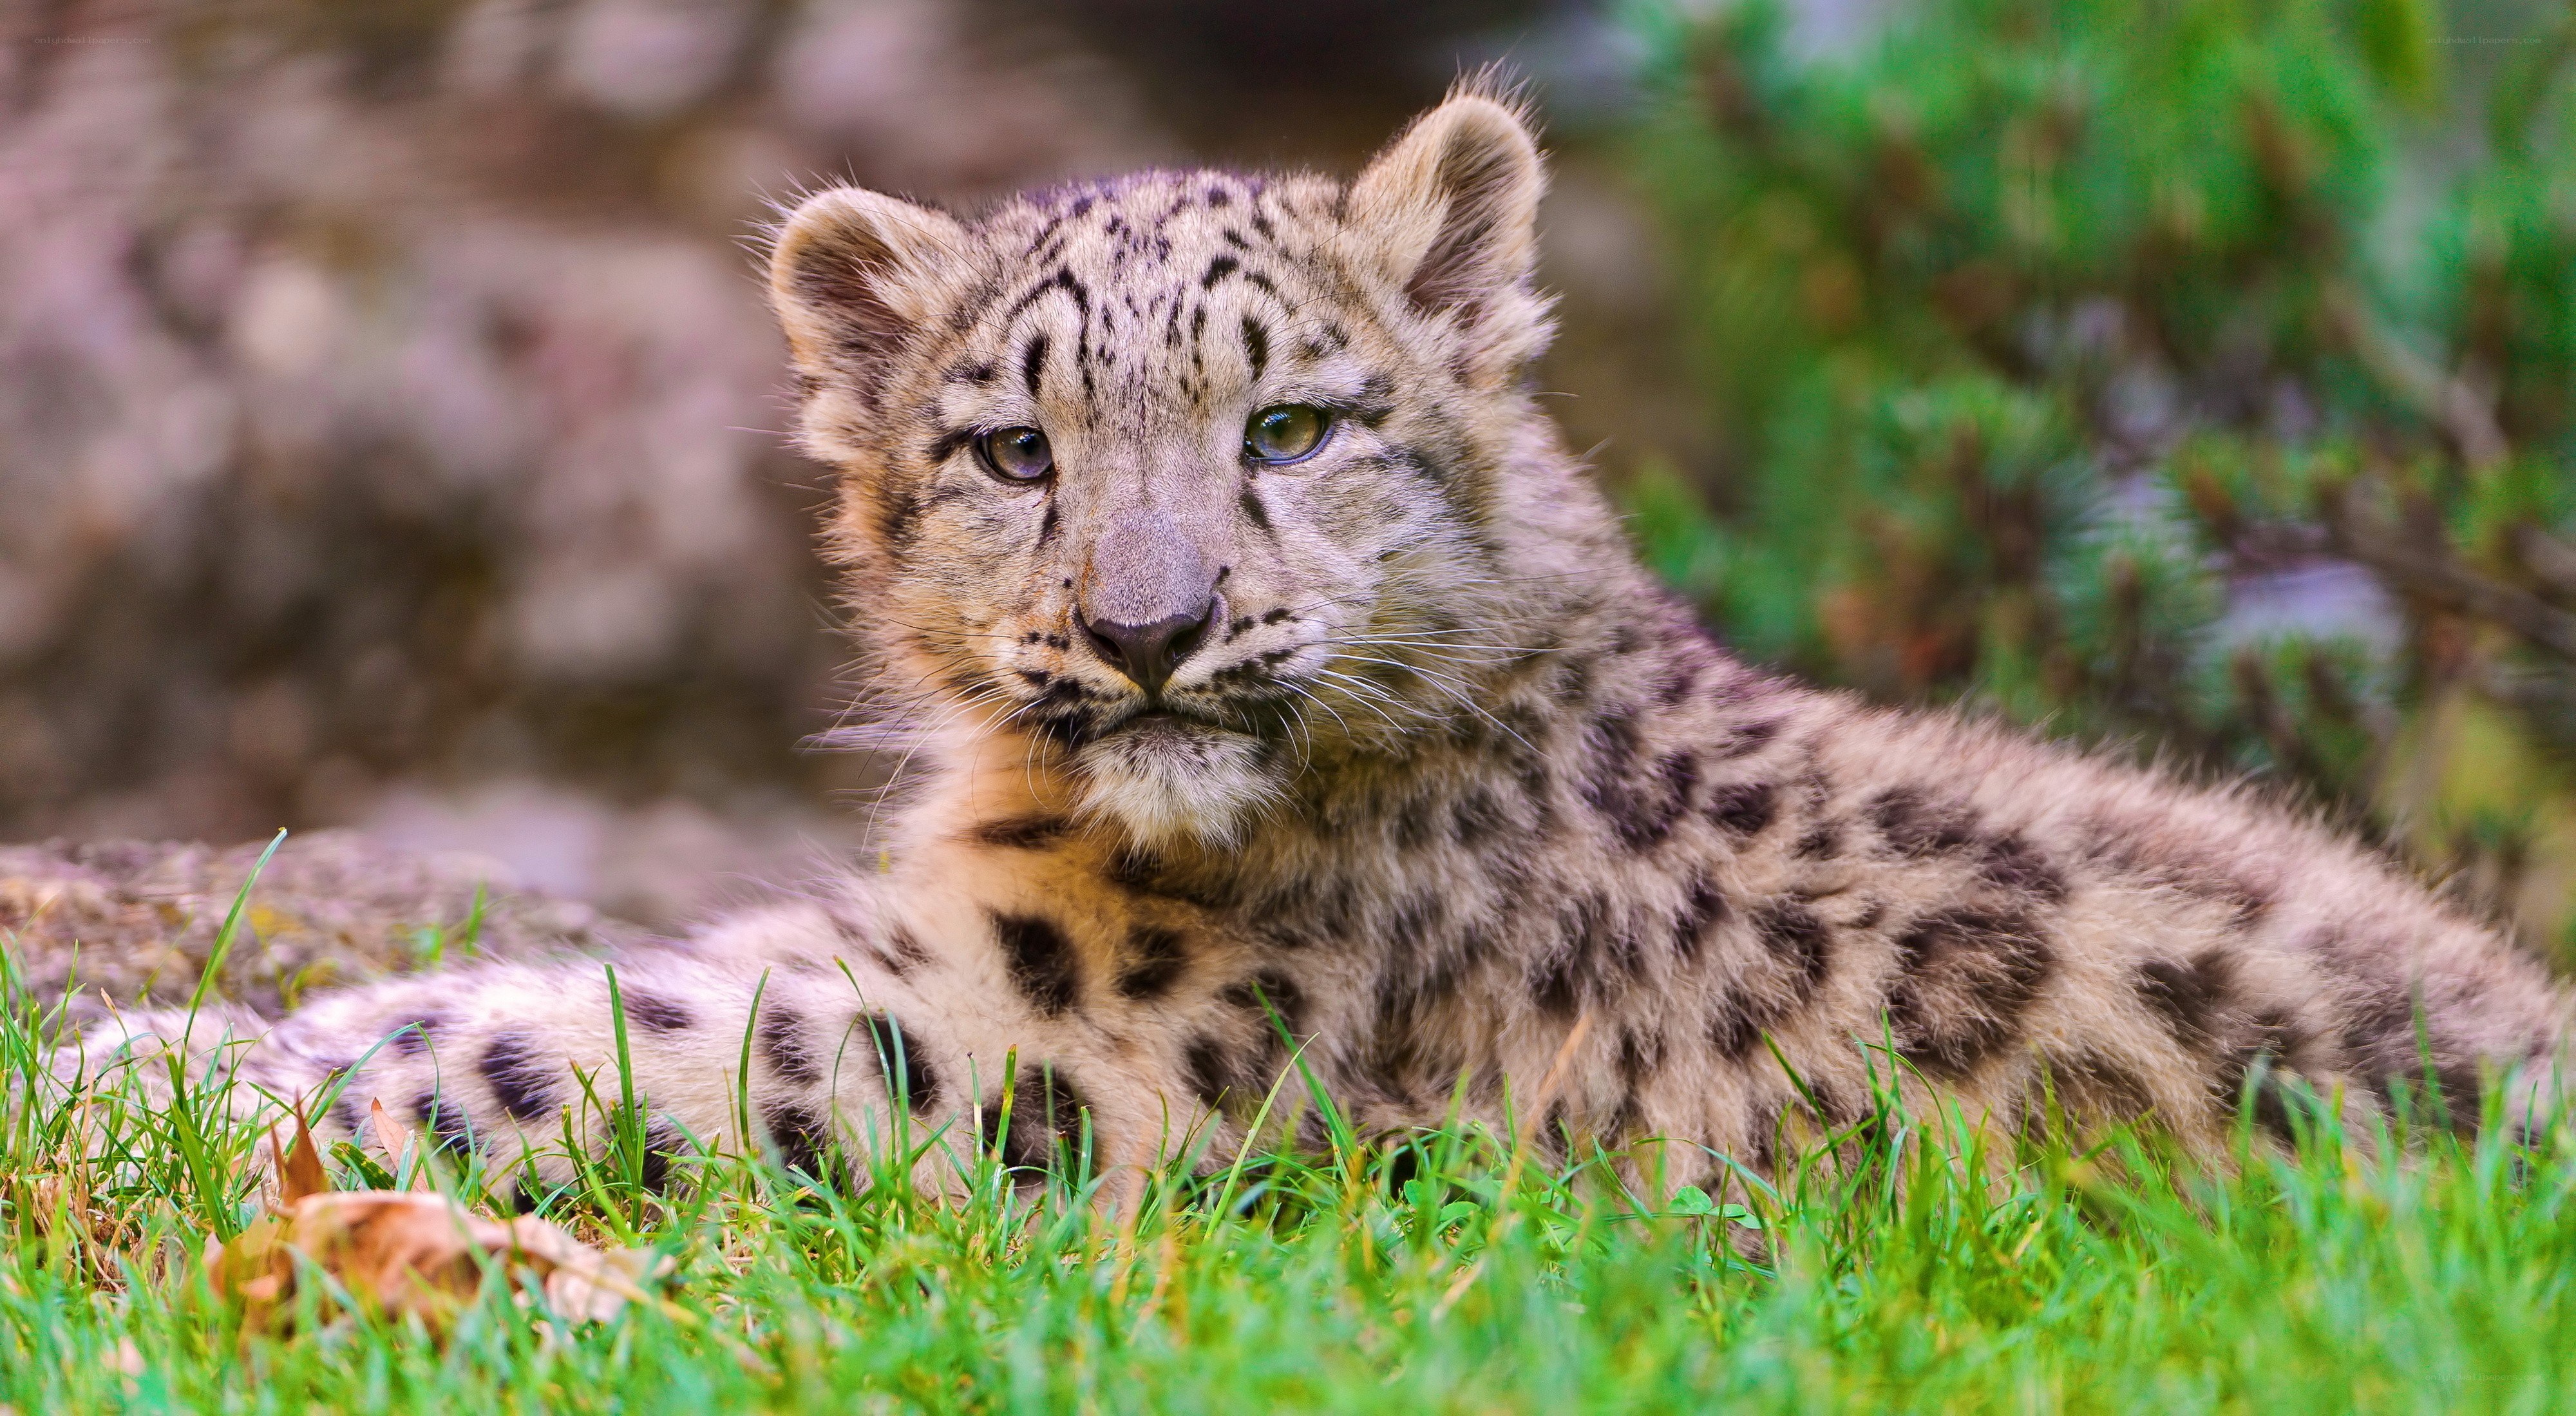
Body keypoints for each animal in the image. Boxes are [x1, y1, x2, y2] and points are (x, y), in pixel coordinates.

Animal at [49, 83, 2576, 1208]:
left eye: (1288, 421)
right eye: (1012, 447)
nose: (1153, 628)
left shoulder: (1056, 1043)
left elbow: (619, 1032)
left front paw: (153, 1075)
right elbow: (557, 971)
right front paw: (172, 1030)